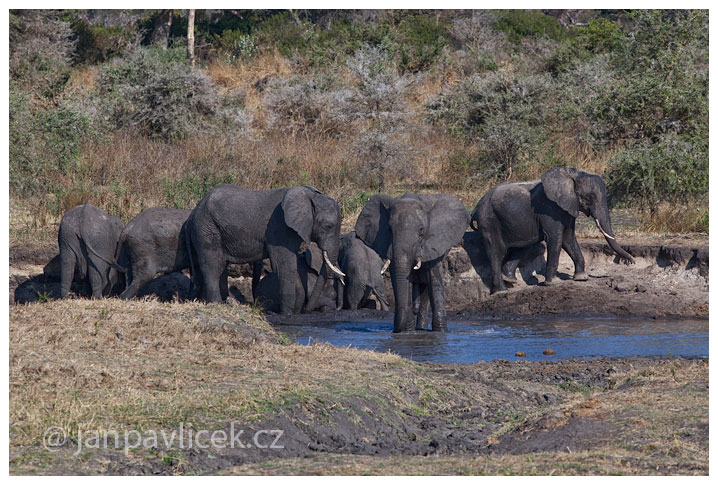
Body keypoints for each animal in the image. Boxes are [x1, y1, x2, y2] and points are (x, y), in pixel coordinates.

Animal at [184, 182, 344, 314]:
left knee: (221, 266)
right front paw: (288, 314)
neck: (310, 196)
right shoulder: (279, 227)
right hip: (206, 228)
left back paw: (226, 302)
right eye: (328, 226)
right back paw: (217, 304)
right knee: (213, 266)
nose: (307, 310)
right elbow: (284, 265)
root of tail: (193, 213)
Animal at [356, 193, 470, 332]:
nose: (395, 329)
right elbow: (403, 282)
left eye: (421, 229)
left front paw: (441, 332)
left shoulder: (434, 243)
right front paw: (407, 331)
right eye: (389, 229)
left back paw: (421, 328)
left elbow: (434, 281)